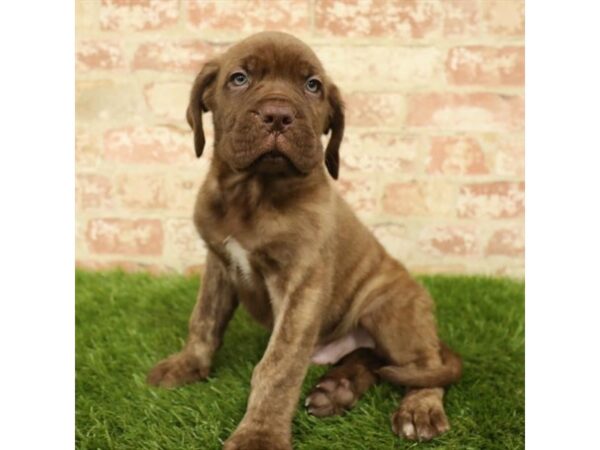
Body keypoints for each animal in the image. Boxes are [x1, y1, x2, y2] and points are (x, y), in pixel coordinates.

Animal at [148, 31, 462, 450]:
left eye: (312, 86)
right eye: (239, 78)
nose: (278, 115)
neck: (254, 192)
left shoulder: (302, 283)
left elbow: (278, 365)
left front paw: (260, 435)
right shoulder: (219, 262)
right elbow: (204, 320)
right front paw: (188, 365)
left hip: (391, 310)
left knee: (423, 366)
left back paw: (419, 409)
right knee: (374, 359)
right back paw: (337, 390)